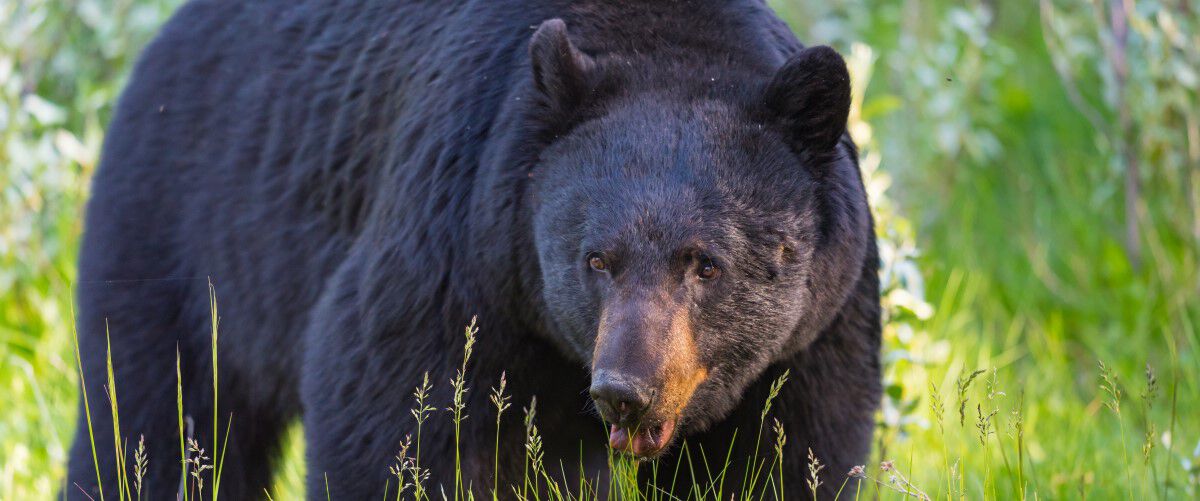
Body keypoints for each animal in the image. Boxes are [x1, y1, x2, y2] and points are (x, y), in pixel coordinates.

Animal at [68, 0, 883, 496]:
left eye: (706, 263)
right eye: (595, 259)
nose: (625, 387)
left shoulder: (818, 331)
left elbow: (788, 457)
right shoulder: (458, 252)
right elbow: (391, 419)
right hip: (186, 236)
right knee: (156, 417)